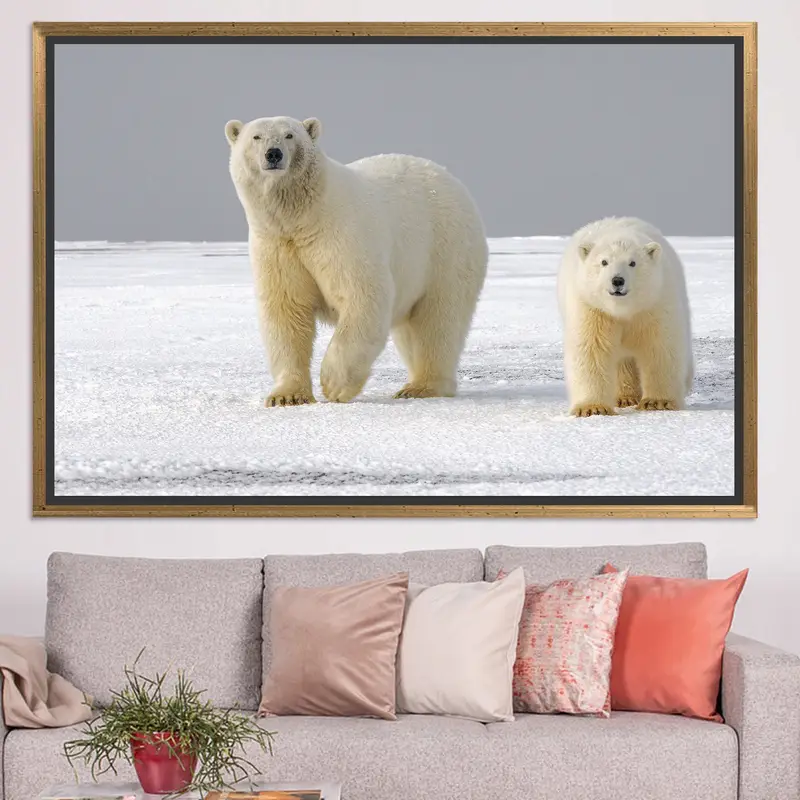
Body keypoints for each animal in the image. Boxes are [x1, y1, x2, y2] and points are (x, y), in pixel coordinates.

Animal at [224, 115, 489, 406]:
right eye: (256, 137)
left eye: (289, 135)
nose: (273, 154)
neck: (304, 217)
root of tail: (451, 179)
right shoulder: (277, 246)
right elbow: (286, 312)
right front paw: (287, 396)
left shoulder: (341, 236)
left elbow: (362, 296)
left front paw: (334, 385)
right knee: (411, 329)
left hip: (445, 249)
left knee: (438, 320)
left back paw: (422, 386)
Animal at [556, 216, 693, 417]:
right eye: (604, 262)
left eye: (633, 263)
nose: (617, 280)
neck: (623, 310)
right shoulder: (592, 308)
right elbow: (591, 349)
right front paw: (593, 408)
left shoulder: (654, 304)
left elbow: (660, 347)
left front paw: (657, 402)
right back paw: (625, 397)